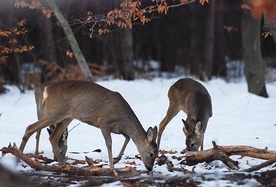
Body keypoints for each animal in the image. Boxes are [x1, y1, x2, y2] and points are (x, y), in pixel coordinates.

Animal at [18, 79, 157, 170]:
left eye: (156, 154)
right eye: (151, 153)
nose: (150, 168)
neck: (124, 119)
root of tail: (47, 89)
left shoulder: (119, 129)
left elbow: (127, 138)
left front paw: (116, 160)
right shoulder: (103, 122)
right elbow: (109, 143)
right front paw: (112, 166)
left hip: (67, 116)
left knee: (53, 136)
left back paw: (62, 164)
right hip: (54, 112)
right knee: (30, 127)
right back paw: (19, 156)